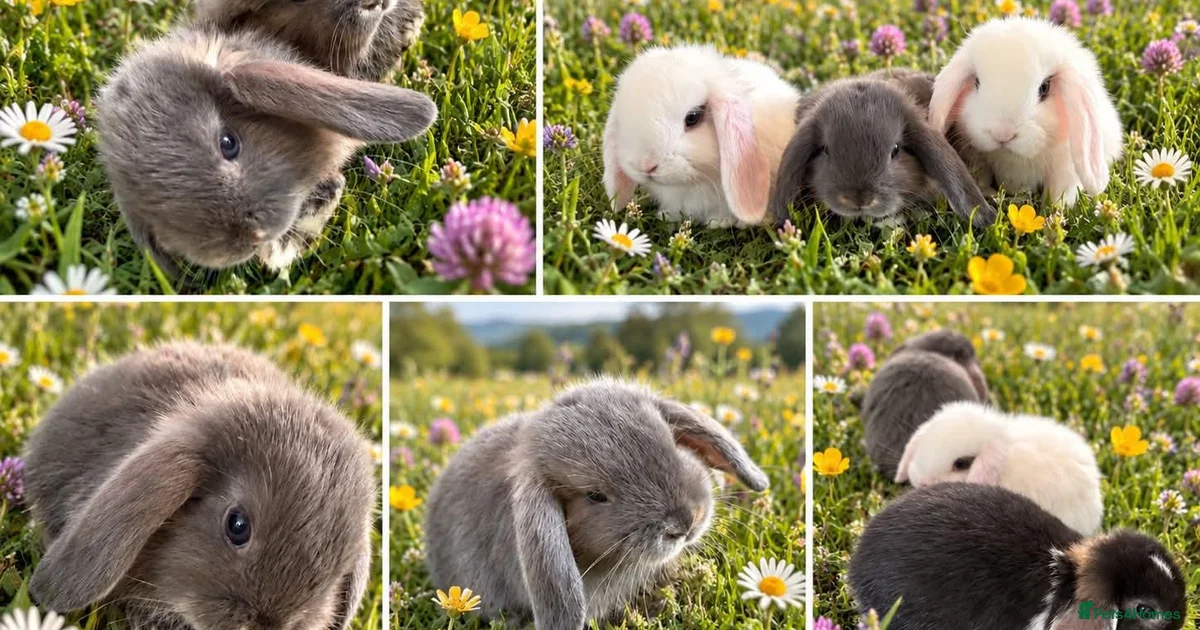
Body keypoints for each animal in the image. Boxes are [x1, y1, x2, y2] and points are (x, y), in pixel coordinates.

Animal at [929, 17, 1123, 208]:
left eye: (1044, 88)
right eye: (976, 83)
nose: (1002, 134)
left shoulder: (1064, 170)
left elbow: (1057, 195)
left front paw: (1052, 212)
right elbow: (982, 180)